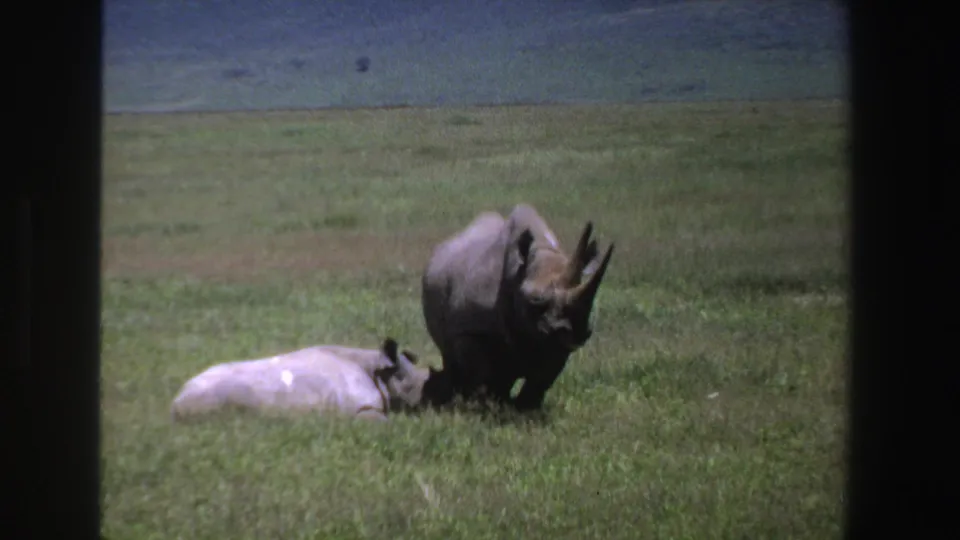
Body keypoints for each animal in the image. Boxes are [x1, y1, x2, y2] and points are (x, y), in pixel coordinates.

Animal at [421, 203, 615, 411]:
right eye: (536, 300)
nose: (575, 332)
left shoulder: (556, 342)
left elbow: (542, 379)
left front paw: (526, 411)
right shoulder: (471, 329)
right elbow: (481, 373)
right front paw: (484, 407)